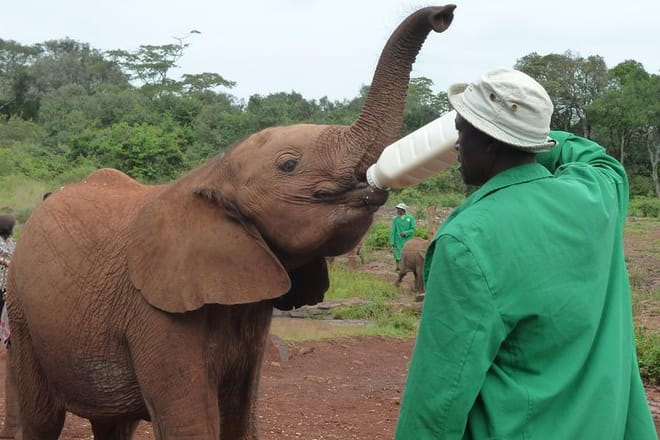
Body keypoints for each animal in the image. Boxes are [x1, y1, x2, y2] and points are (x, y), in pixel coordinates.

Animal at [6, 5, 456, 440]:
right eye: (289, 165)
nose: (444, 15)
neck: (211, 174)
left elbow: (240, 416)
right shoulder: (156, 310)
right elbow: (190, 423)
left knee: (113, 424)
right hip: (22, 313)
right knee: (41, 418)